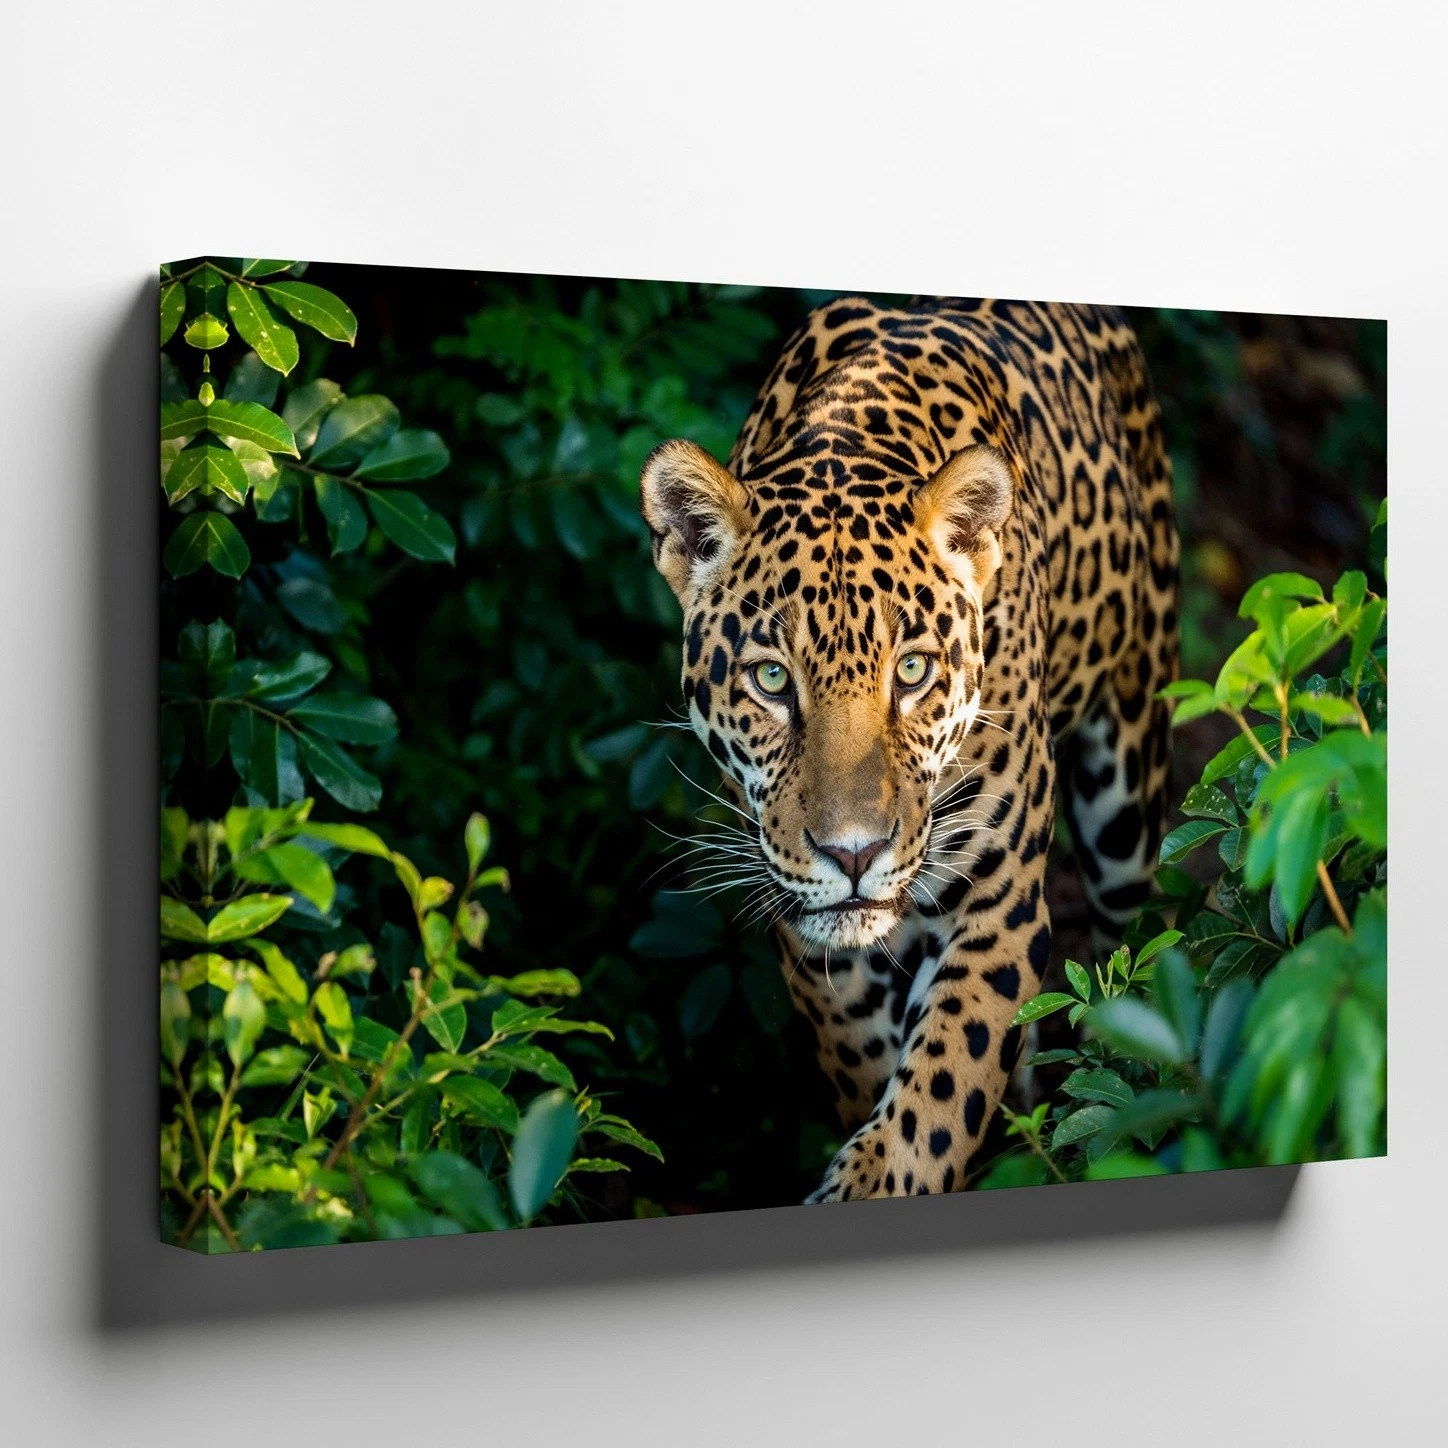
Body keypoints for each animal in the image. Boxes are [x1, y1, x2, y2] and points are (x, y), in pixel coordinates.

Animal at [639, 296, 1179, 1202]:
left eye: (914, 671)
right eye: (773, 680)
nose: (855, 854)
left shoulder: (998, 907)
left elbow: (938, 1093)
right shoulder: (803, 920)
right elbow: (865, 1058)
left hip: (1130, 787)